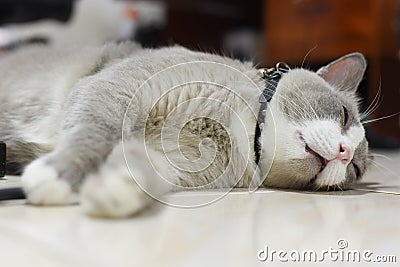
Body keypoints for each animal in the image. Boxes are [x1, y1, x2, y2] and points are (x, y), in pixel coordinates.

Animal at [0, 42, 368, 218]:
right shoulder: (115, 92)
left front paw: (112, 188)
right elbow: (94, 134)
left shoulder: (169, 158)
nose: (344, 152)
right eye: (343, 114)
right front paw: (58, 177)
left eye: (355, 169)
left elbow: (140, 170)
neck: (234, 131)